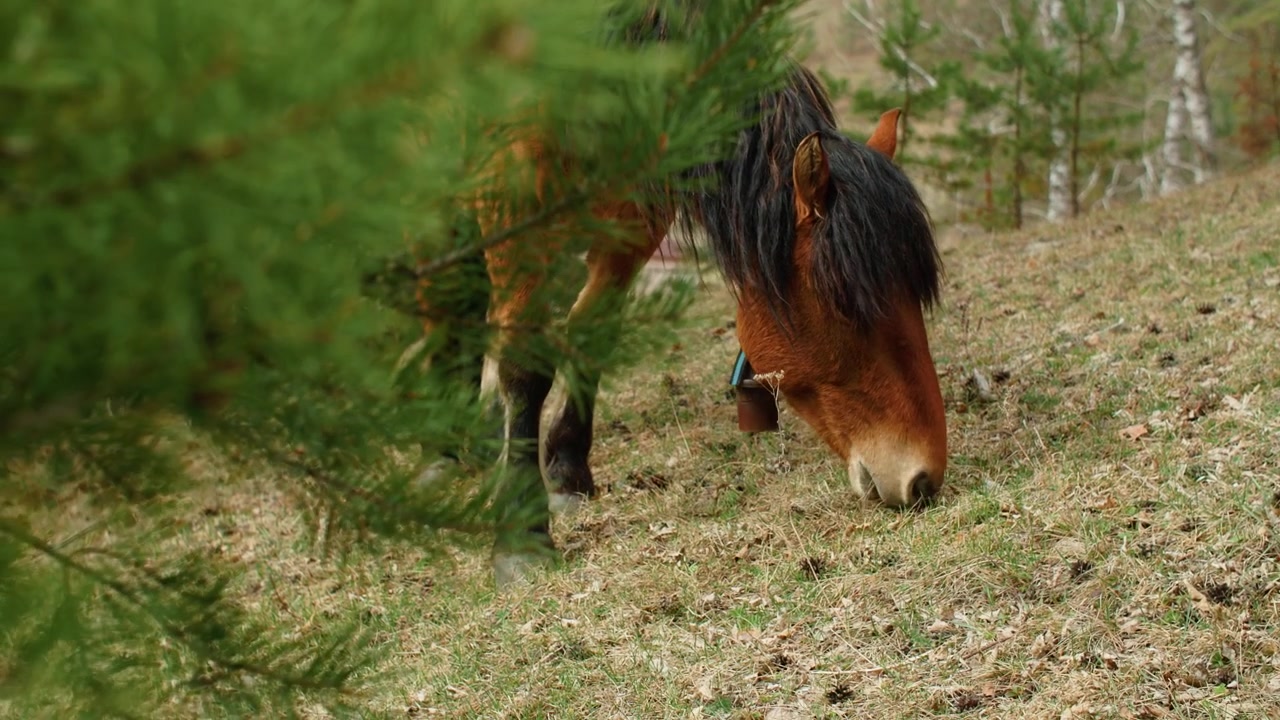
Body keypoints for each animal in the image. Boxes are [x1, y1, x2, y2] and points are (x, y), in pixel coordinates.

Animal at [436, 62, 946, 586]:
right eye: (847, 304)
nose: (923, 478)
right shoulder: (514, 190)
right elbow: (524, 367)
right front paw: (523, 535)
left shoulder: (639, 205)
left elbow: (593, 333)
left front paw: (569, 468)